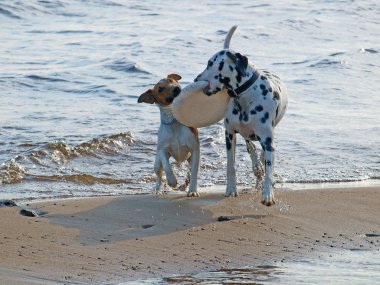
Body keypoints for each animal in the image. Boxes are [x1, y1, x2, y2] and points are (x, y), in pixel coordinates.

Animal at [194, 26, 286, 204]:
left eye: (210, 63)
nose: (196, 79)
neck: (245, 96)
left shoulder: (268, 141)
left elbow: (269, 169)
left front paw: (268, 194)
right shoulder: (230, 135)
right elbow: (231, 165)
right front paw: (231, 189)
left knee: (261, 154)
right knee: (251, 148)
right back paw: (256, 167)